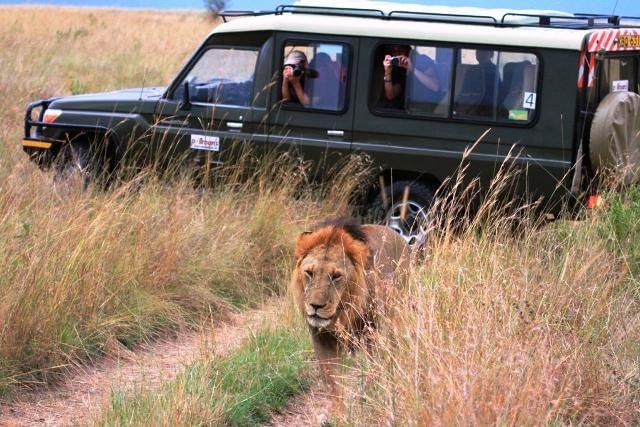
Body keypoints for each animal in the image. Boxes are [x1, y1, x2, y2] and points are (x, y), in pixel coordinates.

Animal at [292, 219, 410, 396]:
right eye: (309, 273)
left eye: (336, 276)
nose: (316, 306)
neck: (344, 313)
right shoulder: (321, 339)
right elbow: (333, 384)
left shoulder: (374, 335)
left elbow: (373, 371)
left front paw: (368, 395)